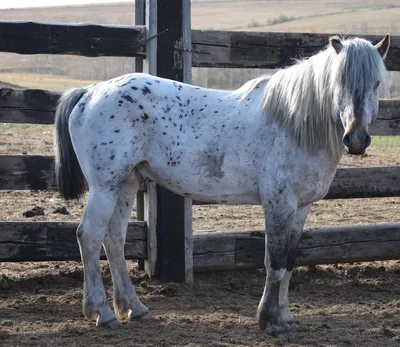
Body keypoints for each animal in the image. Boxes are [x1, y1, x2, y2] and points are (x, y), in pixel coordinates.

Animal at [54, 34, 390, 336]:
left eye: (376, 83)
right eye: (340, 83)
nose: (356, 139)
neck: (292, 123)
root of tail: (90, 91)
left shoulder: (301, 207)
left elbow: (290, 260)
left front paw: (285, 317)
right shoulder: (279, 204)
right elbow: (275, 261)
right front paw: (271, 322)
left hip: (125, 184)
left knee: (113, 240)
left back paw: (133, 308)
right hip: (105, 186)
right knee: (89, 236)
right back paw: (101, 311)